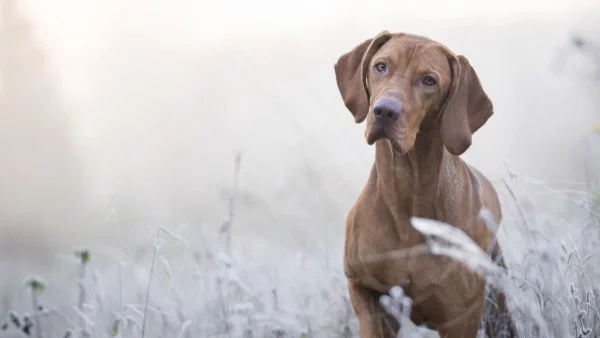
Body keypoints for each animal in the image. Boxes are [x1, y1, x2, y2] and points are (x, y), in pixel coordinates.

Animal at [332, 30, 516, 336]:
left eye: (429, 80)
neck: (407, 192)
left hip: (497, 305)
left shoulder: (461, 316)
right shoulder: (365, 293)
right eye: (380, 66)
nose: (384, 111)